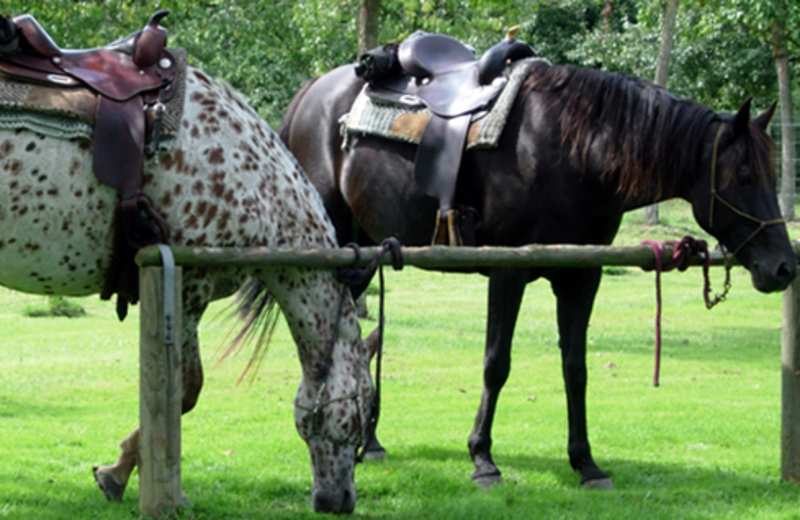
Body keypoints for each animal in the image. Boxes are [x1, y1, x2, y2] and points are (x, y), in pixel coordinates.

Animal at [0, 66, 374, 516]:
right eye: (367, 411)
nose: (339, 501)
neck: (253, 177)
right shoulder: (187, 285)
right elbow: (184, 389)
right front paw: (135, 480)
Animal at [278, 59, 796, 490]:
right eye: (745, 175)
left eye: (772, 174)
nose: (783, 267)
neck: (575, 154)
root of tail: (312, 91)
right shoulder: (508, 272)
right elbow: (496, 365)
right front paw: (483, 459)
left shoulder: (582, 276)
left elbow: (575, 368)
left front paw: (586, 464)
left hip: (362, 254)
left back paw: (369, 442)